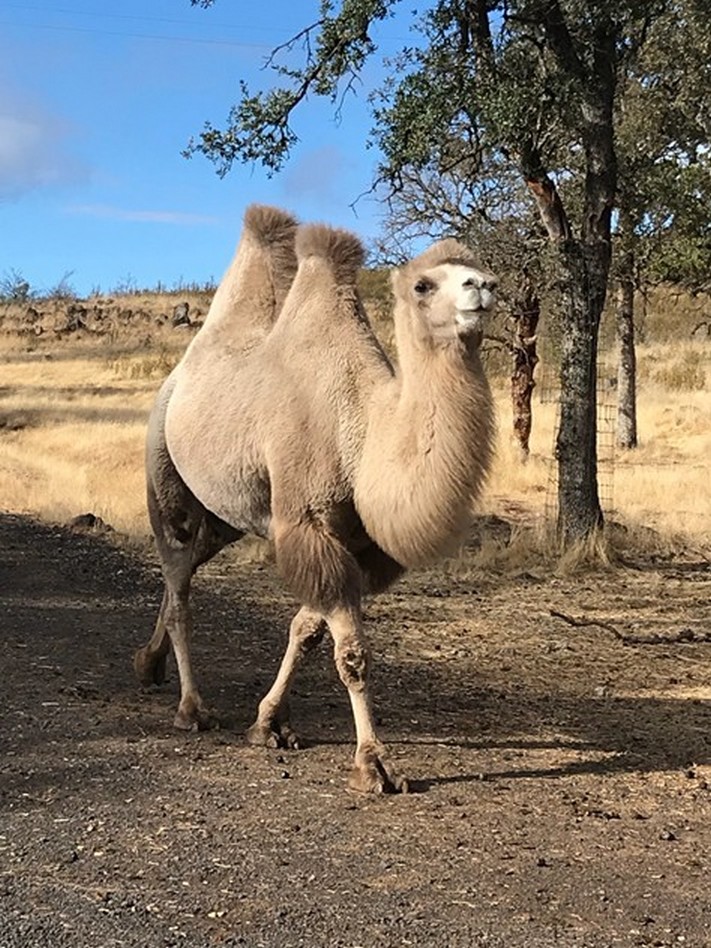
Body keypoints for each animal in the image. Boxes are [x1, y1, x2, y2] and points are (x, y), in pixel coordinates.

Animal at [136, 206, 498, 792]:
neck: (361, 432)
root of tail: (177, 376)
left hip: (225, 516)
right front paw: (373, 764)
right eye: (423, 284)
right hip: (165, 476)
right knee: (178, 577)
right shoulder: (310, 522)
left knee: (186, 570)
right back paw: (191, 708)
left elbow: (305, 629)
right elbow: (351, 653)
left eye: (481, 271)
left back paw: (148, 663)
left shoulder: (353, 544)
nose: (483, 286)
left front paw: (270, 723)